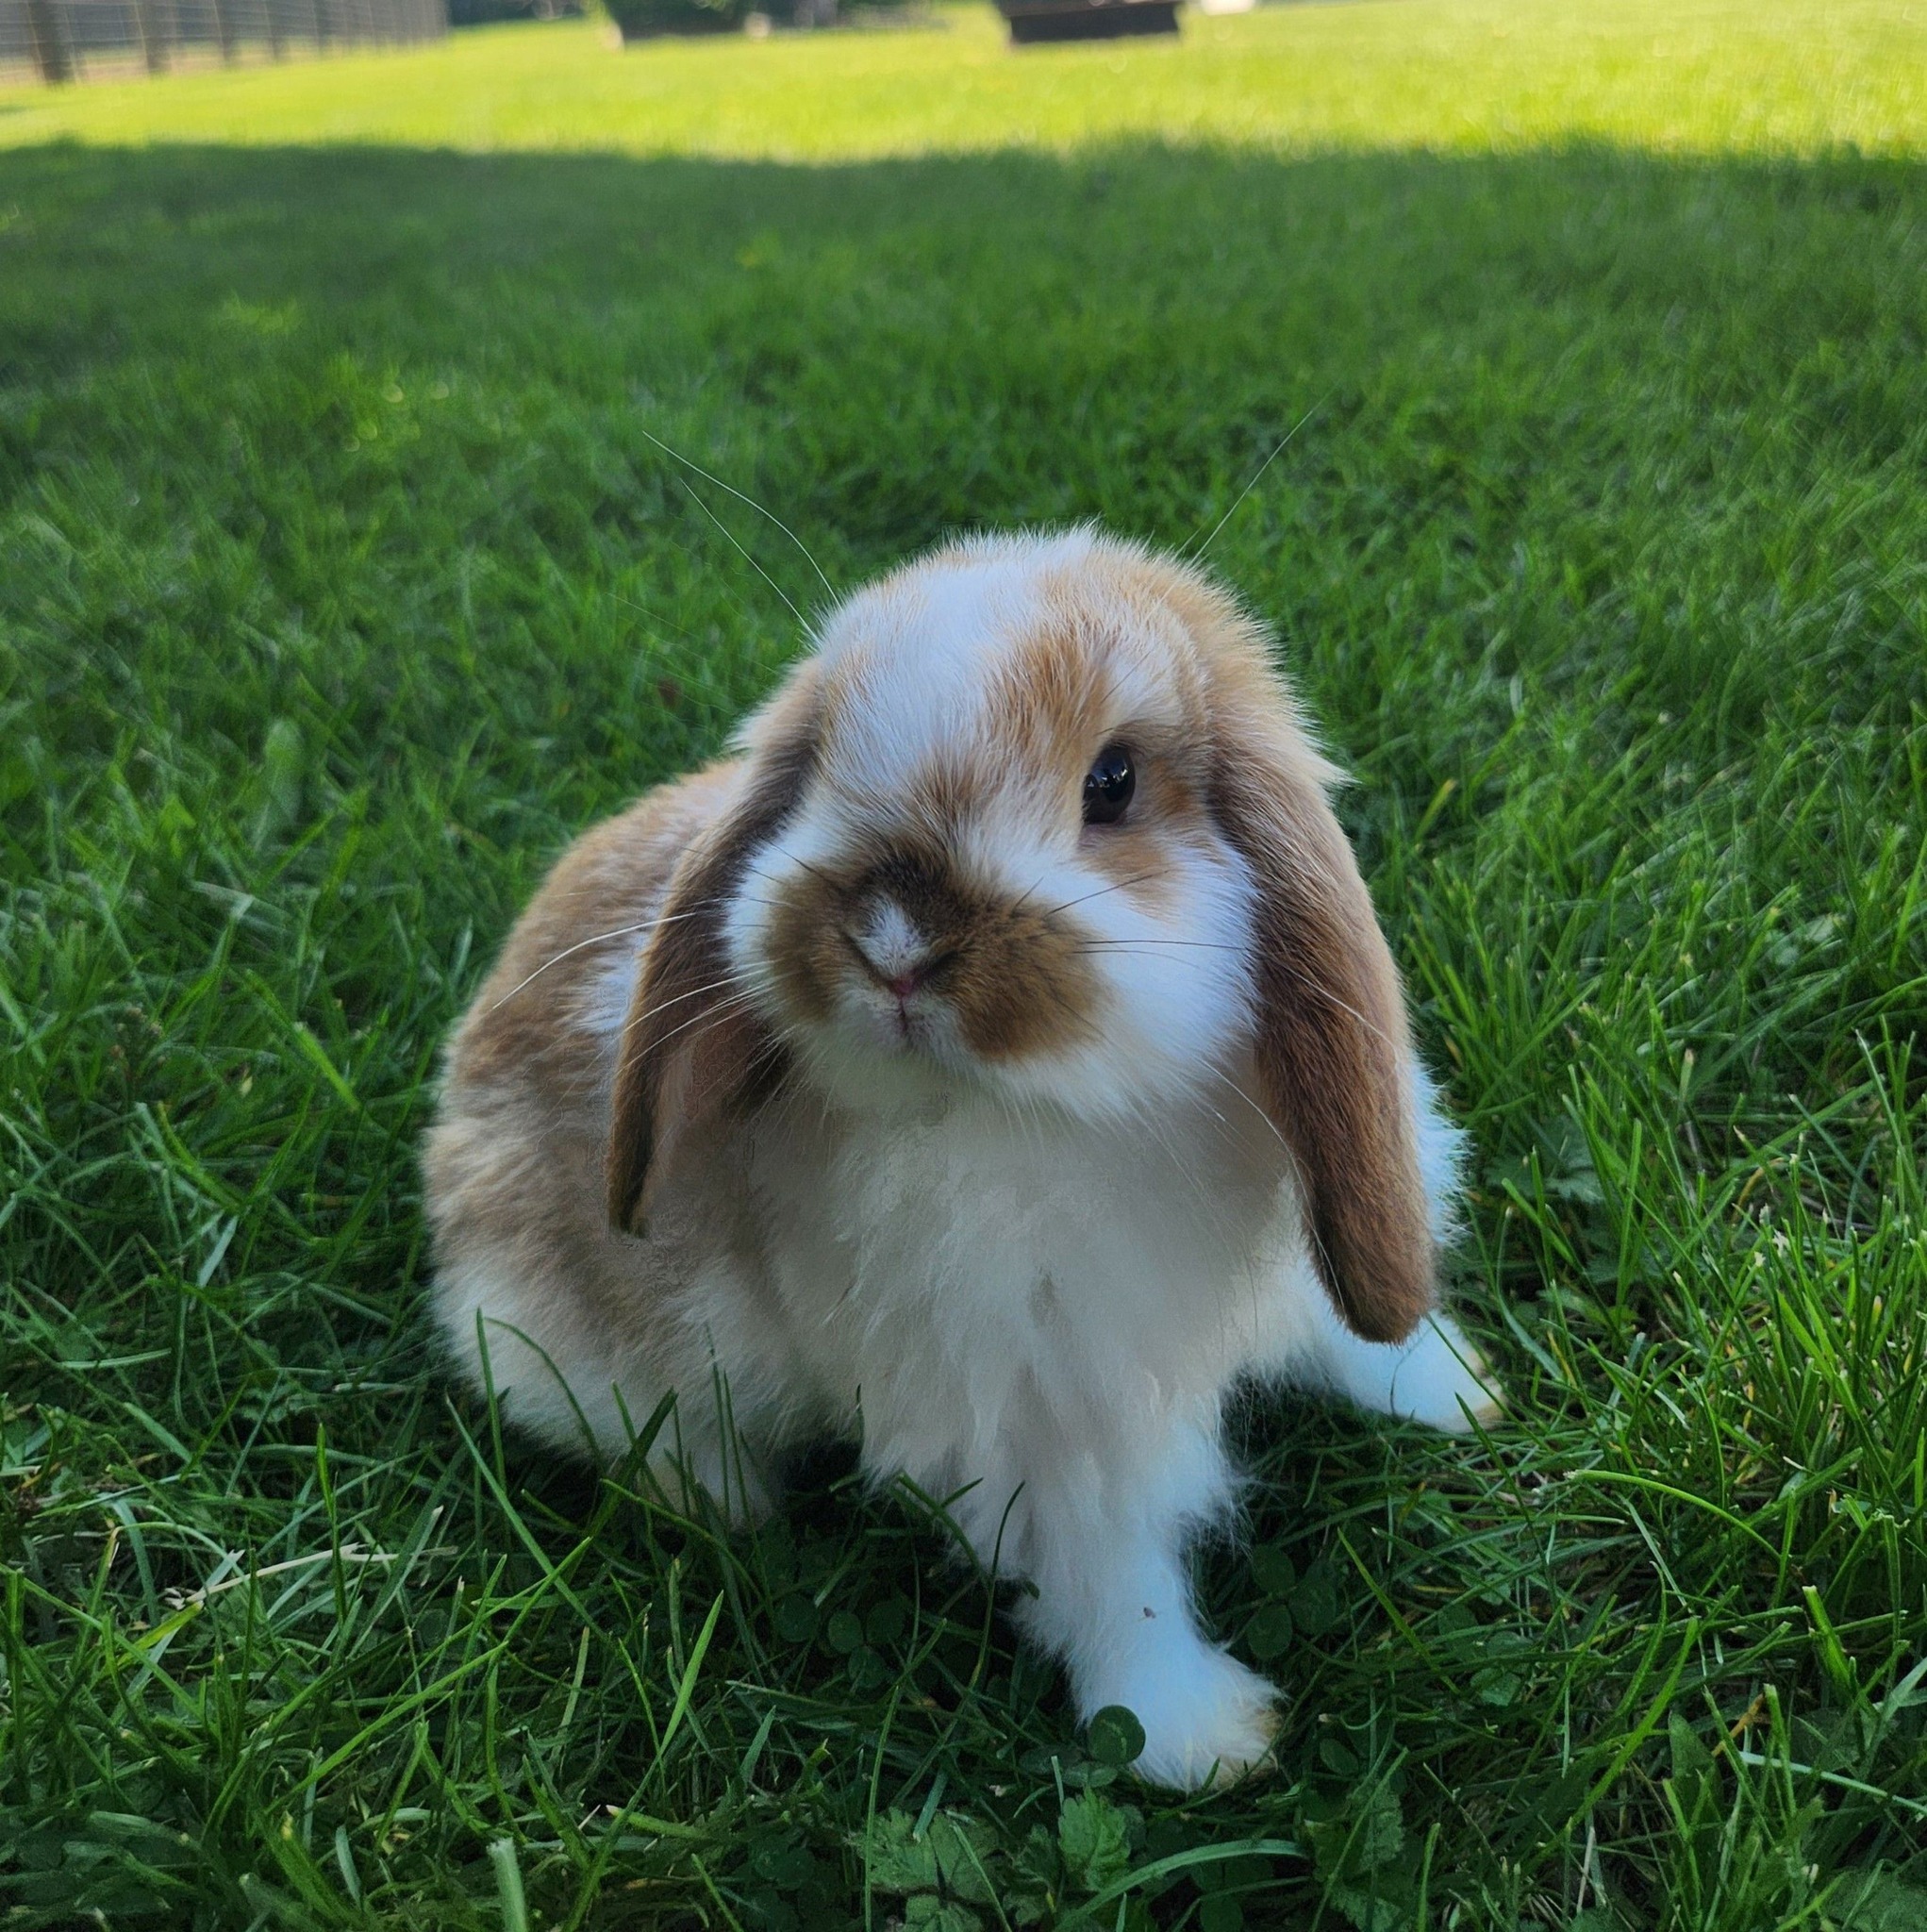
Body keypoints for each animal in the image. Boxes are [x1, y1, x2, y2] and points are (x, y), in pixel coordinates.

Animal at [422, 528, 1500, 1792]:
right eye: (819, 768)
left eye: (1113, 780)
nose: (895, 945)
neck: (1056, 1113)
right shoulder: (1050, 1414)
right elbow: (1116, 1578)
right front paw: (1199, 1738)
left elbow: (1339, 1324)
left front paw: (1453, 1390)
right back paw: (734, 1505)